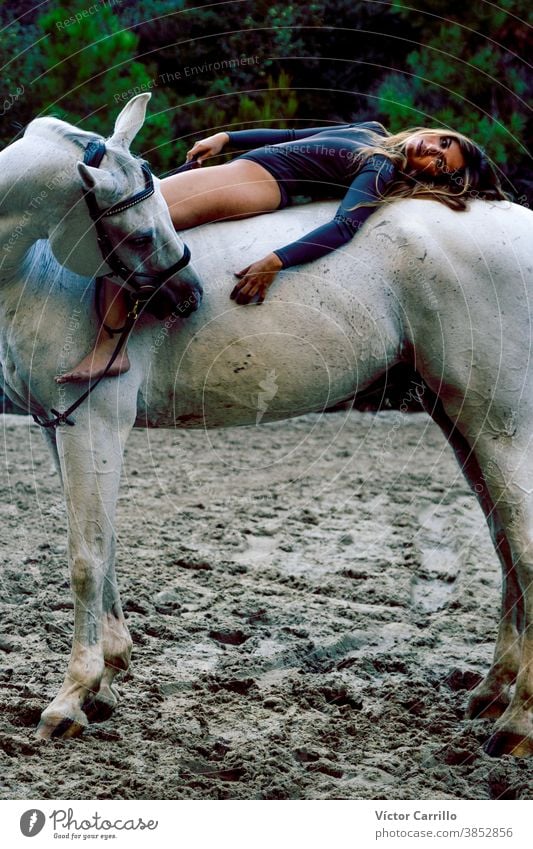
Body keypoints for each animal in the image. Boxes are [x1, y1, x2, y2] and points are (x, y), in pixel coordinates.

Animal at [1, 94, 532, 756]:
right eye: (142, 230)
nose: (187, 295)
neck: (36, 271)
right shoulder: (59, 426)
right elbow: (107, 546)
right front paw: (107, 680)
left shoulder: (91, 426)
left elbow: (85, 557)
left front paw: (71, 698)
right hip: (461, 419)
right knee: (505, 545)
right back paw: (492, 693)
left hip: (501, 423)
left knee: (523, 547)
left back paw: (517, 724)